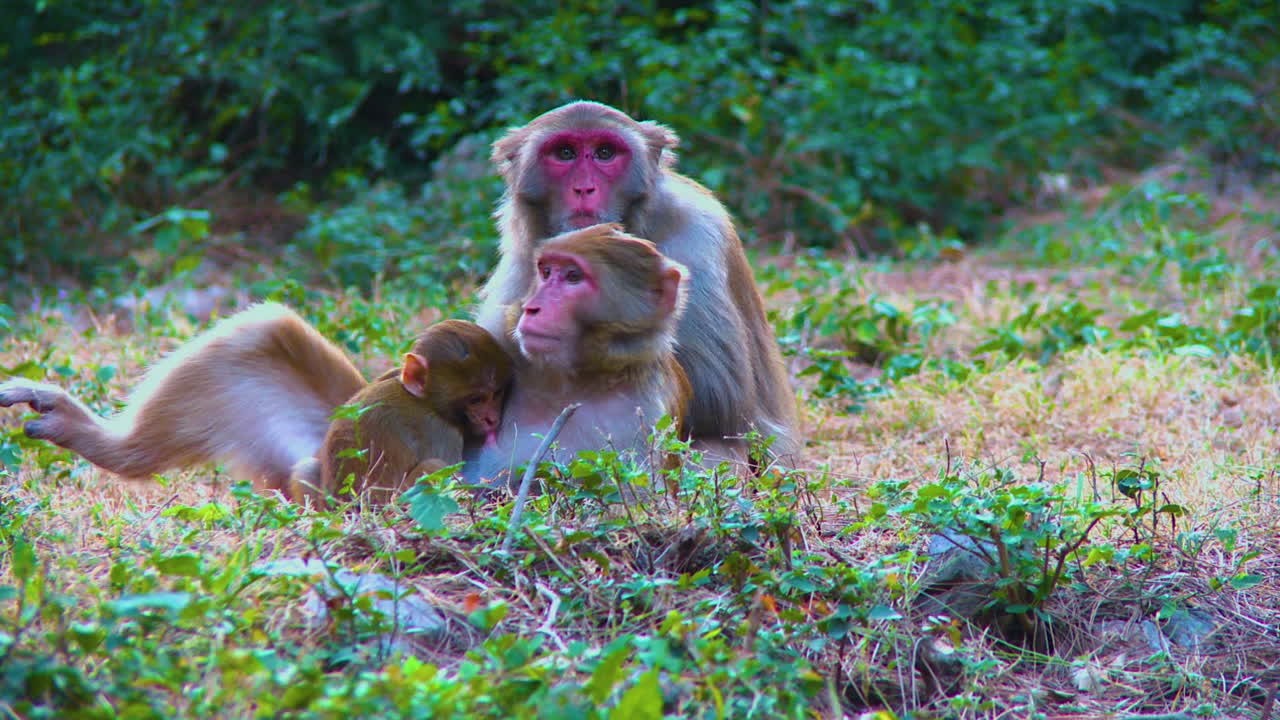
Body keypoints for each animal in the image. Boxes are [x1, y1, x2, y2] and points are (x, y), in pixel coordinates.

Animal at [290, 320, 512, 507]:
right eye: (476, 400)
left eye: (496, 394)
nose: (492, 418)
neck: (425, 400)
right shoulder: (443, 433)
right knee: (433, 466)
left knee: (306, 467)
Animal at [463, 223, 692, 484]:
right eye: (546, 272)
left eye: (573, 276)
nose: (531, 308)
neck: (573, 379)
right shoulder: (500, 334)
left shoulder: (644, 417)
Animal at [474, 101, 800, 466]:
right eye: (564, 153)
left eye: (604, 153)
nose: (584, 188)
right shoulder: (522, 249)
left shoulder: (695, 230)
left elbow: (718, 399)